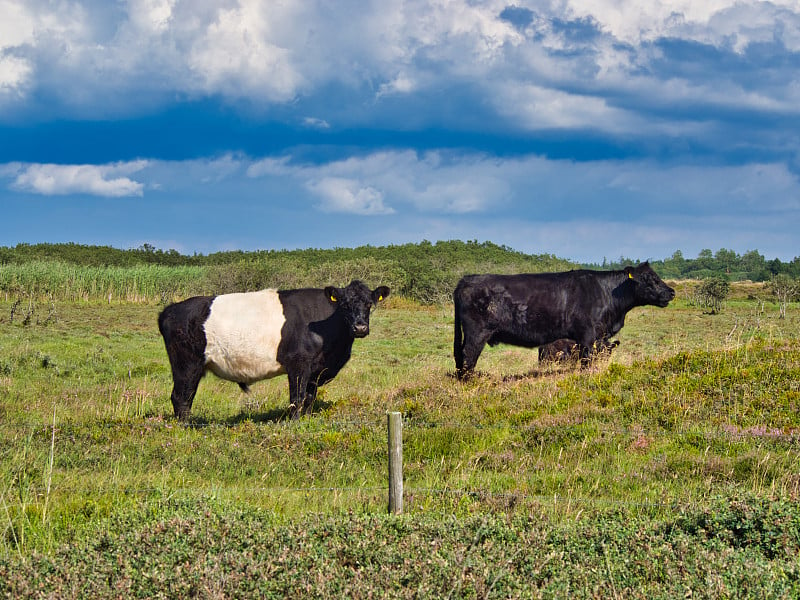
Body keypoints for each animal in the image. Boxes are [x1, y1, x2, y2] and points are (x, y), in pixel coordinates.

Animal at [158, 280, 390, 418]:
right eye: (344, 304)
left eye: (369, 304)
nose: (360, 327)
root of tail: (170, 309)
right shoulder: (298, 363)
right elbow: (297, 398)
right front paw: (294, 424)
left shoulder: (315, 370)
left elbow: (309, 398)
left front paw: (307, 421)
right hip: (186, 364)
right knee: (181, 397)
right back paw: (187, 429)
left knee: (185, 397)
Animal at [454, 260, 672, 378]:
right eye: (649, 279)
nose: (671, 292)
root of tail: (467, 278)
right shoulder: (587, 336)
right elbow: (586, 360)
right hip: (477, 333)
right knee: (468, 356)